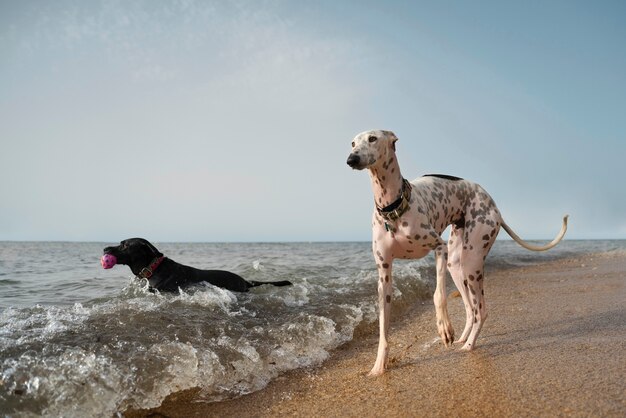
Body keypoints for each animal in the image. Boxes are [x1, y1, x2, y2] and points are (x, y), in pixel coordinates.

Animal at [346, 130, 564, 376]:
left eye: (372, 138)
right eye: (352, 143)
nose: (351, 159)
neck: (392, 207)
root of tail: (493, 204)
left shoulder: (439, 248)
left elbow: (438, 295)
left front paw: (444, 328)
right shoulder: (384, 274)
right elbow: (383, 328)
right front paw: (378, 367)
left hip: (471, 259)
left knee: (481, 310)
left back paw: (468, 345)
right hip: (456, 265)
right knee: (470, 309)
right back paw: (463, 339)